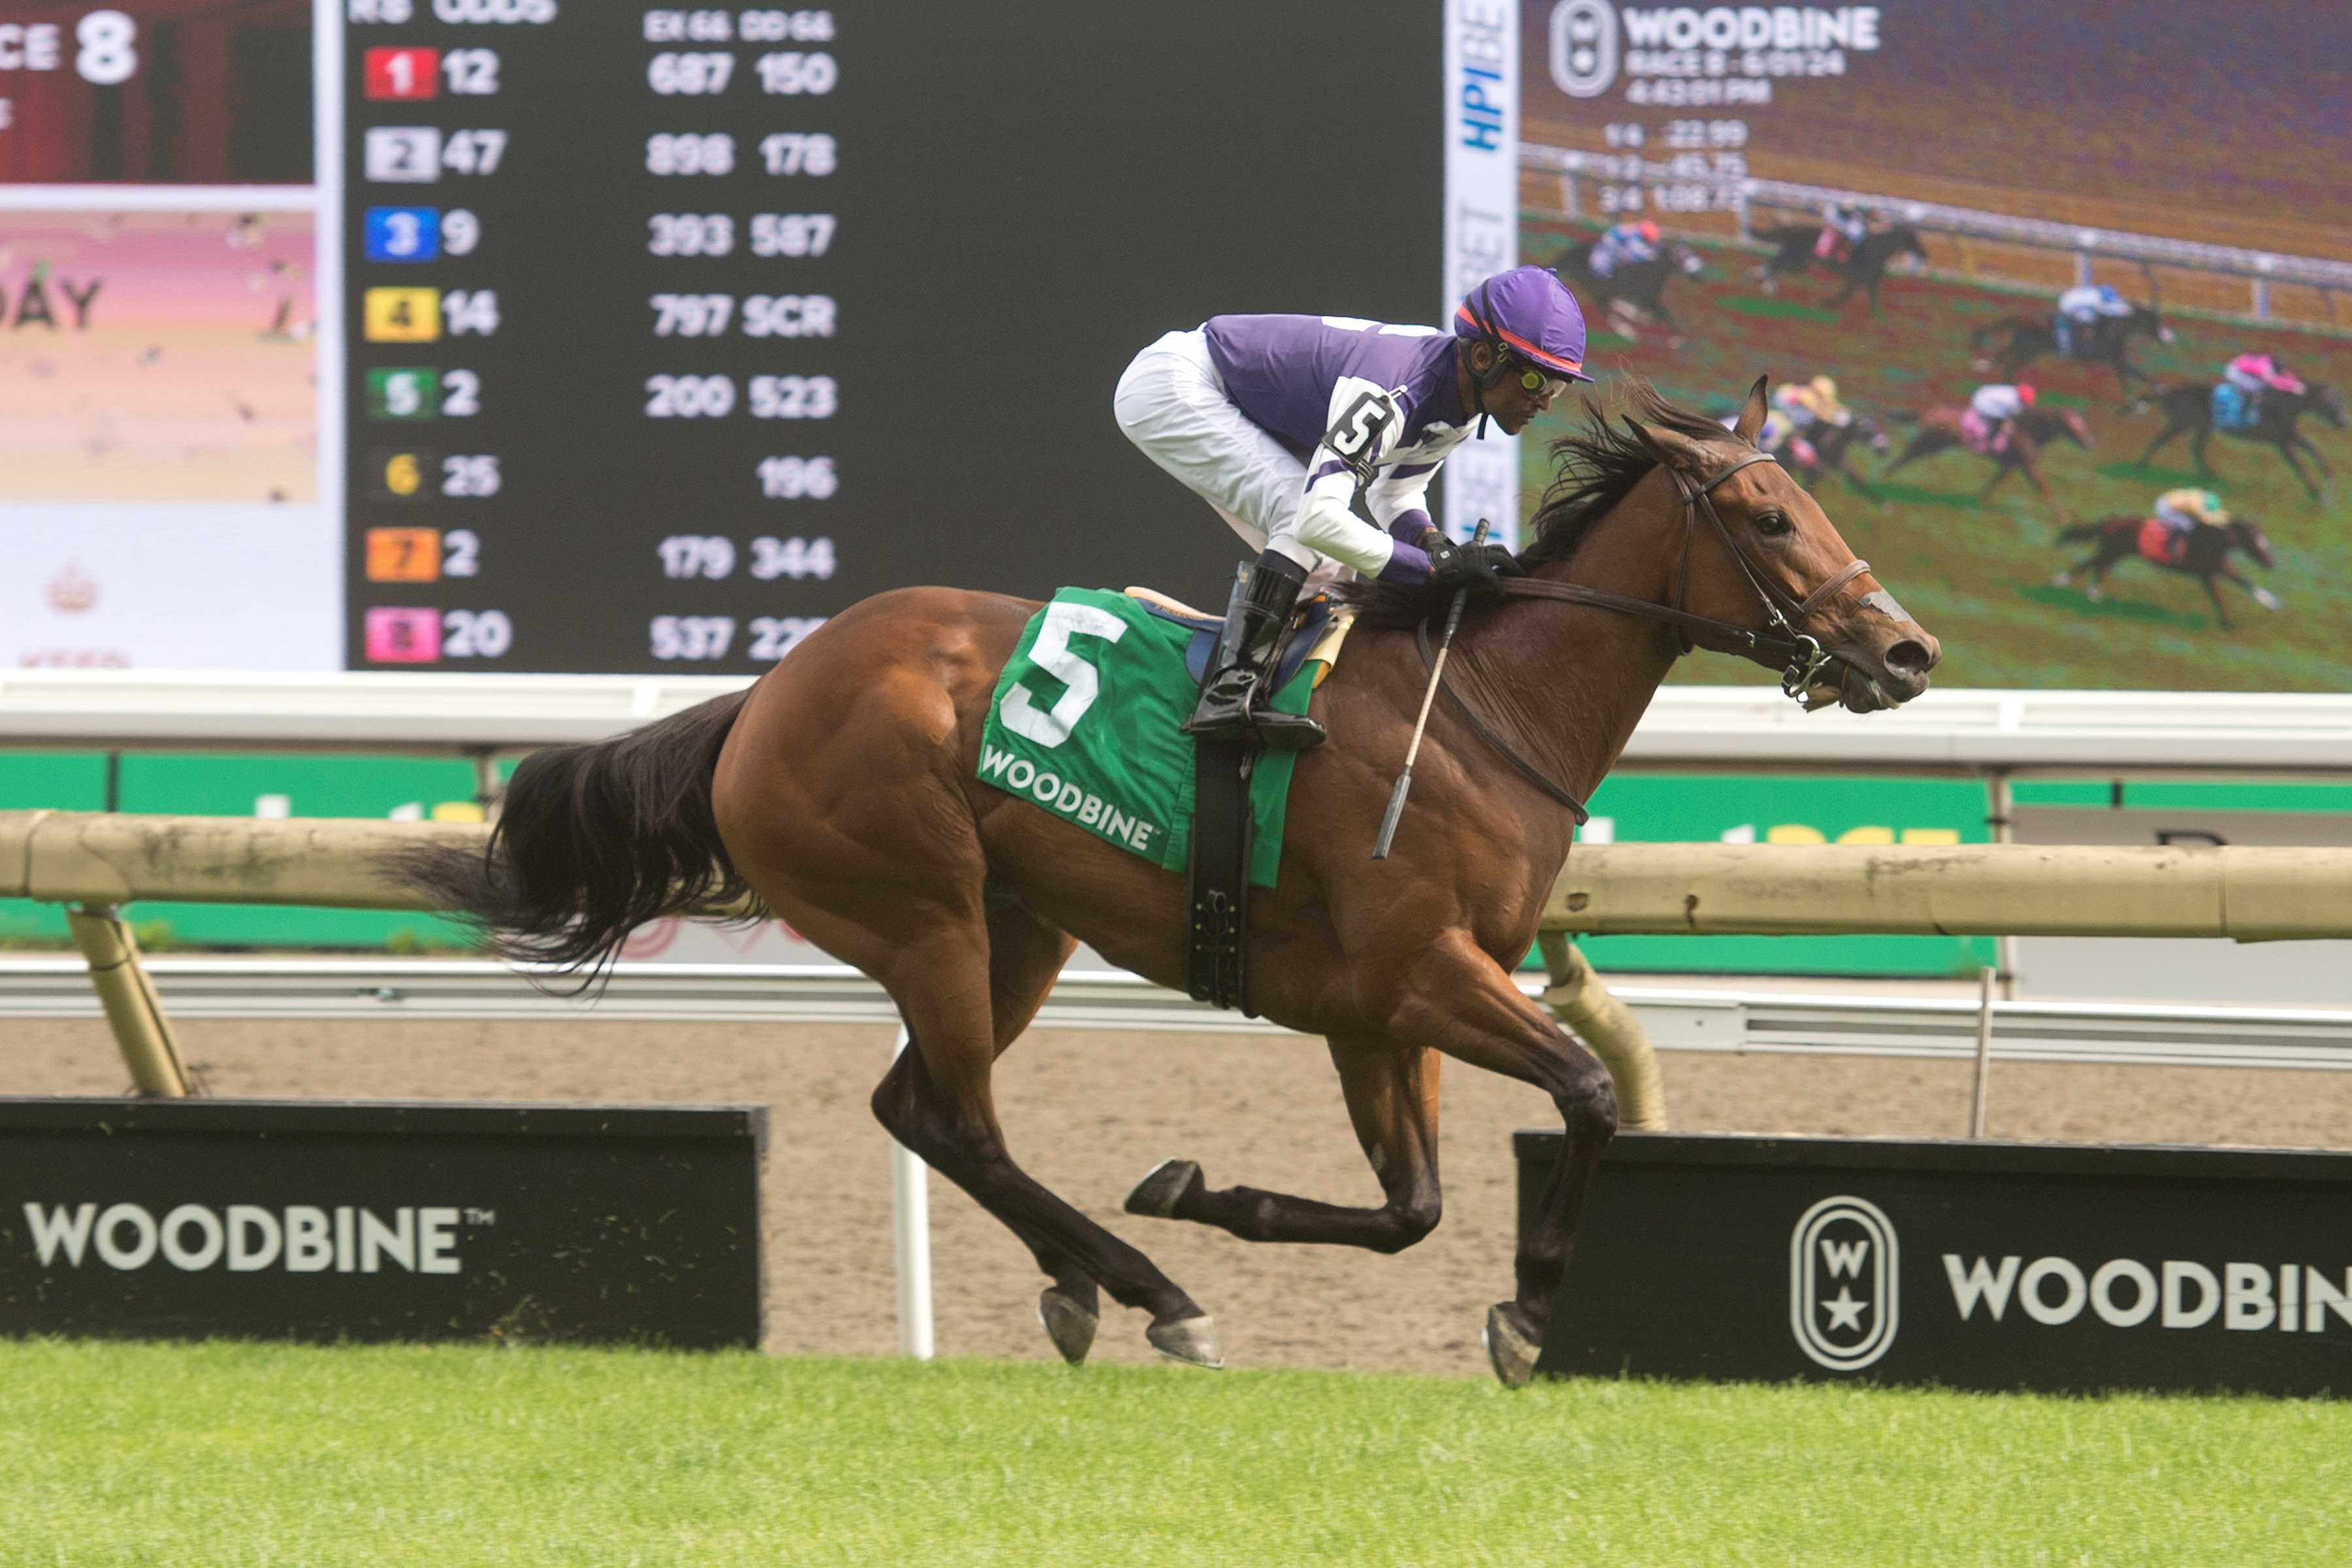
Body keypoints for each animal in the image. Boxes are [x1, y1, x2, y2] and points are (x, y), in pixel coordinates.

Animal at [395, 380, 1938, 1382]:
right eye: (1771, 518)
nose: (1908, 652)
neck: (1484, 708)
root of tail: (766, 695)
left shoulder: (1375, 1011)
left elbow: (1412, 1208)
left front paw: (1210, 1191)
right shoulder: (1420, 972)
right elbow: (1586, 1093)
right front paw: (1527, 1319)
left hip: (1015, 927)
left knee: (919, 1110)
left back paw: (1098, 1280)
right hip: (927, 910)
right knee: (960, 1121)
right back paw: (1149, 1292)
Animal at [1750, 222, 1929, 315]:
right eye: (1915, 240)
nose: (1925, 254)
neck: (1877, 249)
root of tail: (1792, 229)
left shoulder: (1861, 280)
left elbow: (1861, 296)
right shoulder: (1860, 278)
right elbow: (1850, 295)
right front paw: (1827, 303)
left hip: (1798, 262)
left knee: (1775, 263)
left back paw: (1761, 277)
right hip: (1797, 260)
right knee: (1774, 264)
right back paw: (1767, 285)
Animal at [1872, 404, 2098, 521]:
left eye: (2084, 424)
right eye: (2075, 425)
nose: (2090, 442)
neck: (2030, 428)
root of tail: (1929, 411)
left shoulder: (2010, 464)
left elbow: (1994, 484)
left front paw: (1980, 502)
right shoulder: (2028, 466)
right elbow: (2044, 488)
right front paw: (2063, 516)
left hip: (1934, 444)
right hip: (1930, 442)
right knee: (1906, 456)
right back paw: (1883, 477)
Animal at [2060, 521, 2276, 630]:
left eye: (2266, 541)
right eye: (2257, 542)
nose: (2270, 563)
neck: (2212, 541)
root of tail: (2109, 521)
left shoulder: (2220, 568)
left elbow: (2246, 583)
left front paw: (2272, 603)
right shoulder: (2206, 575)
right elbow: (2218, 598)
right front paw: (2228, 624)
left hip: (2117, 552)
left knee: (2100, 566)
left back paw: (2094, 594)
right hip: (2113, 549)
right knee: (2092, 563)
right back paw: (2064, 581)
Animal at [2126, 380, 2342, 500]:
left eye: (2338, 402)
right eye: (2331, 403)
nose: (2344, 422)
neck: (2285, 404)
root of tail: (2168, 391)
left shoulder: (2289, 435)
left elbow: (2315, 452)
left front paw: (2327, 477)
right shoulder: (2282, 442)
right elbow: (2298, 465)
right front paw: (2316, 492)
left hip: (2203, 427)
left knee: (2196, 449)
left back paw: (2212, 476)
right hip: (2182, 423)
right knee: (2160, 441)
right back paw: (2139, 466)